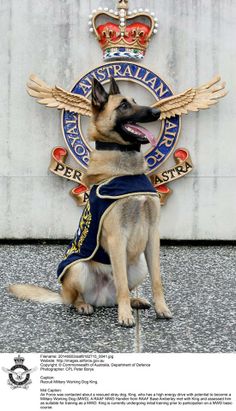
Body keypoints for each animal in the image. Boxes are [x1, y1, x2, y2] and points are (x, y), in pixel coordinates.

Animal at [8, 77, 171, 328]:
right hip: (77, 268)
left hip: (139, 265)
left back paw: (134, 301)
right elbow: (122, 282)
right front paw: (125, 316)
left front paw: (161, 308)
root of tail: (102, 298)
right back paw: (85, 305)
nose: (157, 112)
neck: (126, 170)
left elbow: (157, 280)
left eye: (135, 101)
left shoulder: (153, 234)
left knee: (123, 290)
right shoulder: (116, 237)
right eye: (124, 105)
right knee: (81, 297)